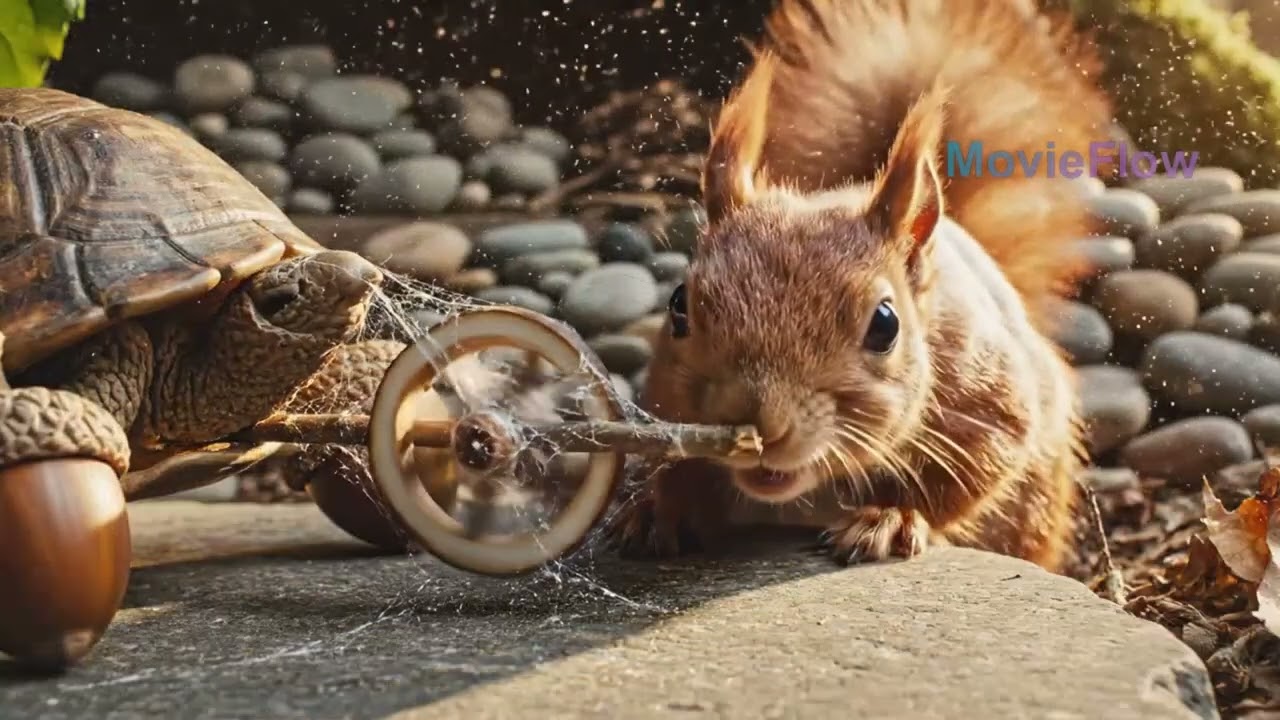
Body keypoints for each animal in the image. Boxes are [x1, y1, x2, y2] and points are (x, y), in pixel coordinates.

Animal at [607, 0, 1114, 573]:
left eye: (885, 326)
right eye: (678, 308)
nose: (757, 424)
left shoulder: (988, 407)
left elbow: (967, 476)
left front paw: (889, 519)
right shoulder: (666, 400)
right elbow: (676, 464)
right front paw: (661, 510)